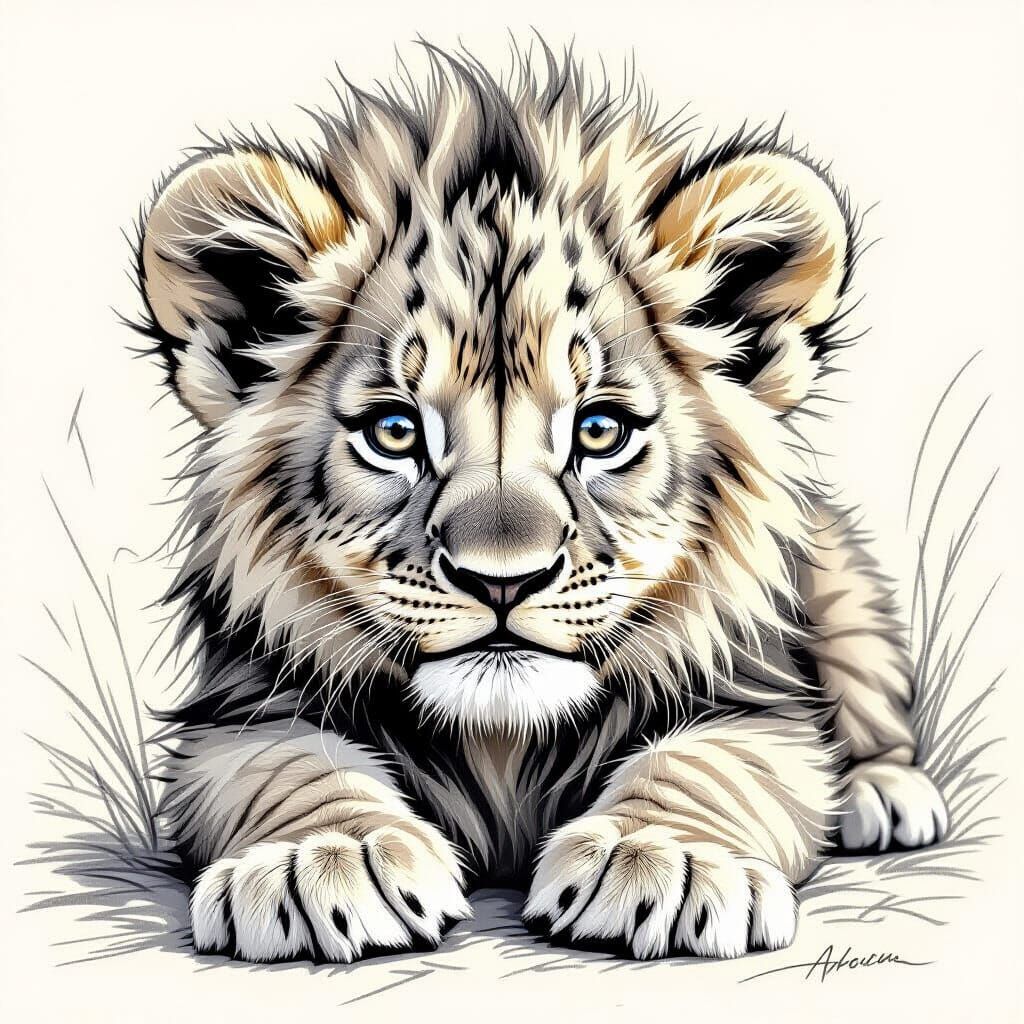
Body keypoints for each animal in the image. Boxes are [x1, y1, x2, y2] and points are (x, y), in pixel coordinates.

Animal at [135, 46, 947, 963]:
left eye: (599, 431)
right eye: (394, 431)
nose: (503, 581)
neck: (502, 742)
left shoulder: (754, 700)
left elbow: (708, 764)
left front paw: (659, 858)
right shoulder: (241, 712)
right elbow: (290, 765)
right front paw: (327, 858)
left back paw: (885, 793)